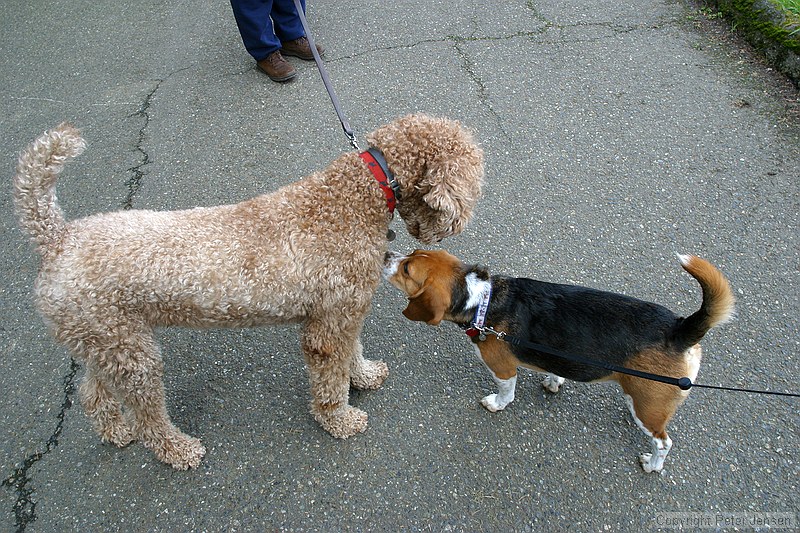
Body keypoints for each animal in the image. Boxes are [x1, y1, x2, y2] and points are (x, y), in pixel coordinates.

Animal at [15, 112, 484, 466]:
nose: (459, 222)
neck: (357, 194)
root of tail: (57, 239)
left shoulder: (343, 310)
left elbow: (353, 353)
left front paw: (364, 376)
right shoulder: (329, 325)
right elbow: (331, 376)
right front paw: (339, 419)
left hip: (108, 339)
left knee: (92, 392)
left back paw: (115, 429)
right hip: (129, 352)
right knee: (149, 415)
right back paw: (178, 449)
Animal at [384, 247, 736, 472]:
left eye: (406, 270)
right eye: (412, 252)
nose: (387, 254)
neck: (482, 300)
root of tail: (679, 328)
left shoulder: (503, 368)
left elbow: (506, 391)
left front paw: (497, 404)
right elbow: (554, 370)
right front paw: (554, 381)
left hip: (650, 409)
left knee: (664, 443)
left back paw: (651, 464)